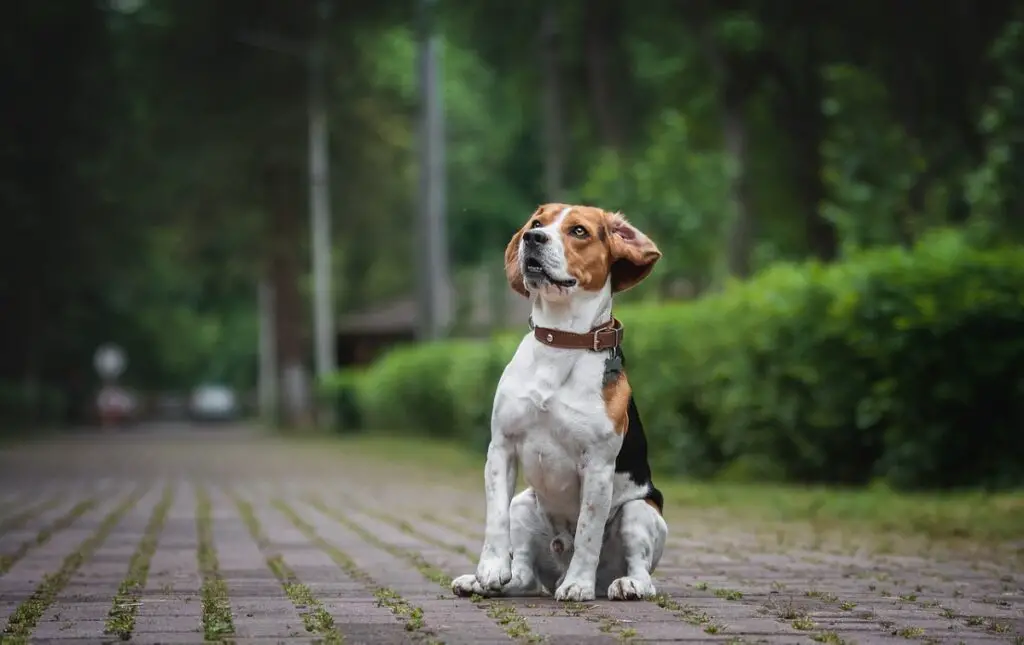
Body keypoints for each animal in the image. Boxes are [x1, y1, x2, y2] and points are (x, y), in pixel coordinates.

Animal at [452, 204, 667, 606]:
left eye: (579, 231)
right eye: (537, 223)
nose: (532, 238)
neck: (561, 339)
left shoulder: (597, 465)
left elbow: (587, 530)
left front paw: (578, 585)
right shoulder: (501, 448)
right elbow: (494, 520)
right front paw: (489, 569)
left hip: (638, 513)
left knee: (642, 572)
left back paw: (620, 585)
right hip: (524, 505)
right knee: (522, 574)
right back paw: (487, 582)